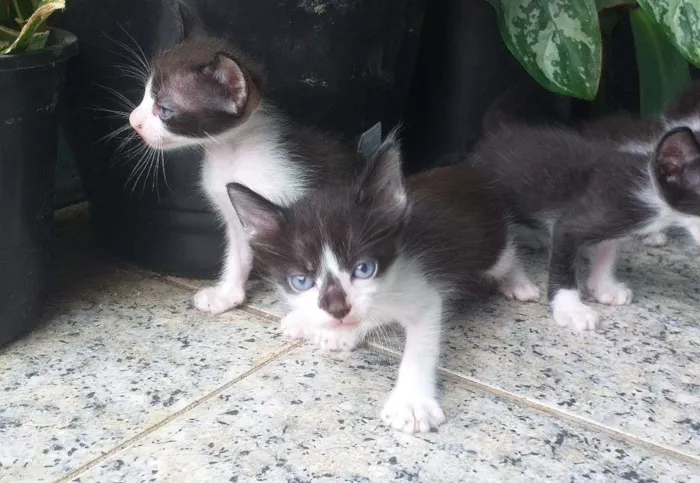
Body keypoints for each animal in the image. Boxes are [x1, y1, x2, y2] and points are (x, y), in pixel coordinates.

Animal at [128, 4, 364, 314]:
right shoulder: (238, 213)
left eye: (164, 110)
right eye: (145, 94)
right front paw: (227, 295)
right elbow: (238, 254)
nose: (133, 121)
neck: (231, 152)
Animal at [227, 130, 540, 434]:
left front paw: (412, 403)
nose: (336, 309)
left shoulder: (423, 291)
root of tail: (468, 170)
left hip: (492, 246)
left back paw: (519, 283)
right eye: (301, 281)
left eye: (364, 268)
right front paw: (328, 324)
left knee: (509, 254)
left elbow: (420, 345)